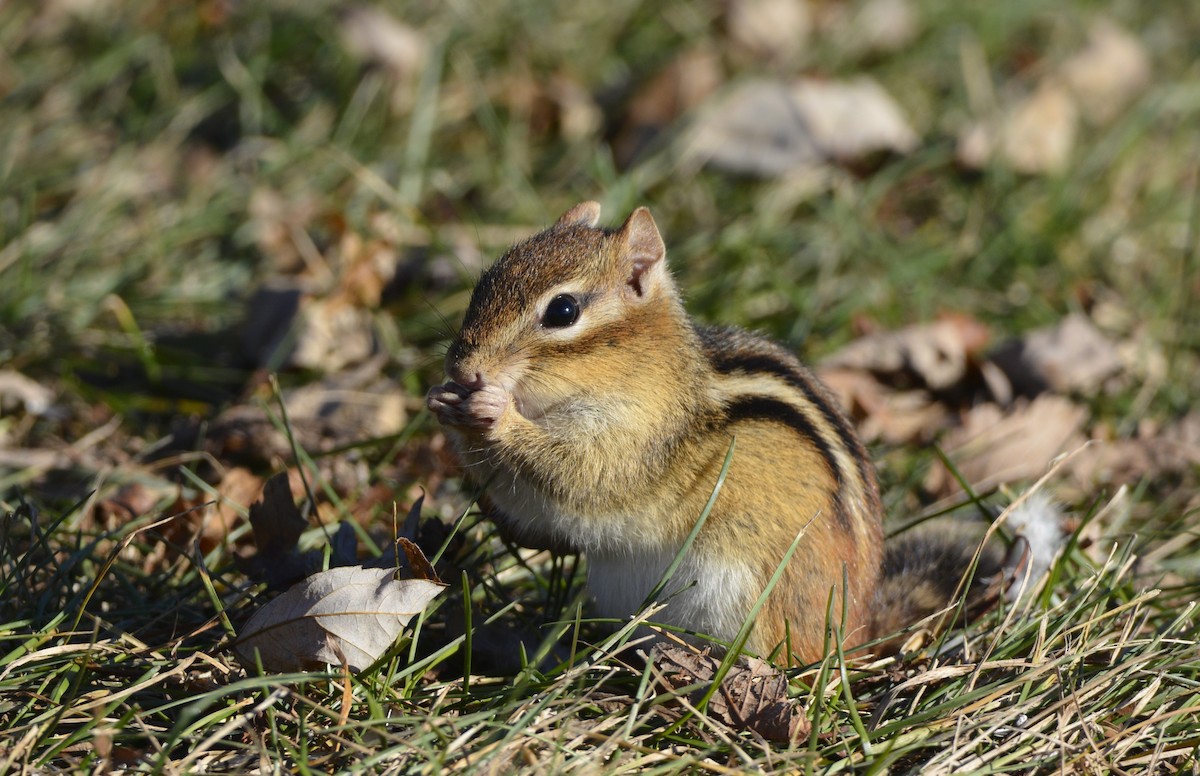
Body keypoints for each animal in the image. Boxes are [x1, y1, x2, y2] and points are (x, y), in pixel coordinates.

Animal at [428, 202, 1021, 664]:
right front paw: (445, 403)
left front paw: (494, 413)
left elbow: (577, 478)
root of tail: (854, 636)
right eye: (486, 279)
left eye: (564, 310)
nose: (463, 368)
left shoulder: (635, 444)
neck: (640, 370)